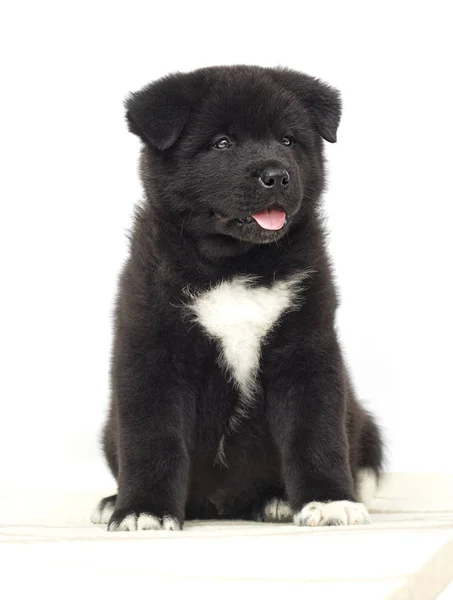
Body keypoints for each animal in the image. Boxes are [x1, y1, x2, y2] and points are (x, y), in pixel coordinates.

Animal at [92, 65, 382, 532]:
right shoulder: (152, 350)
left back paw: (276, 500)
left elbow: (316, 432)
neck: (234, 267)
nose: (276, 175)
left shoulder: (306, 348)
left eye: (288, 140)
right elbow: (152, 438)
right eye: (222, 143)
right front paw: (143, 510)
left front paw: (329, 502)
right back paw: (112, 500)